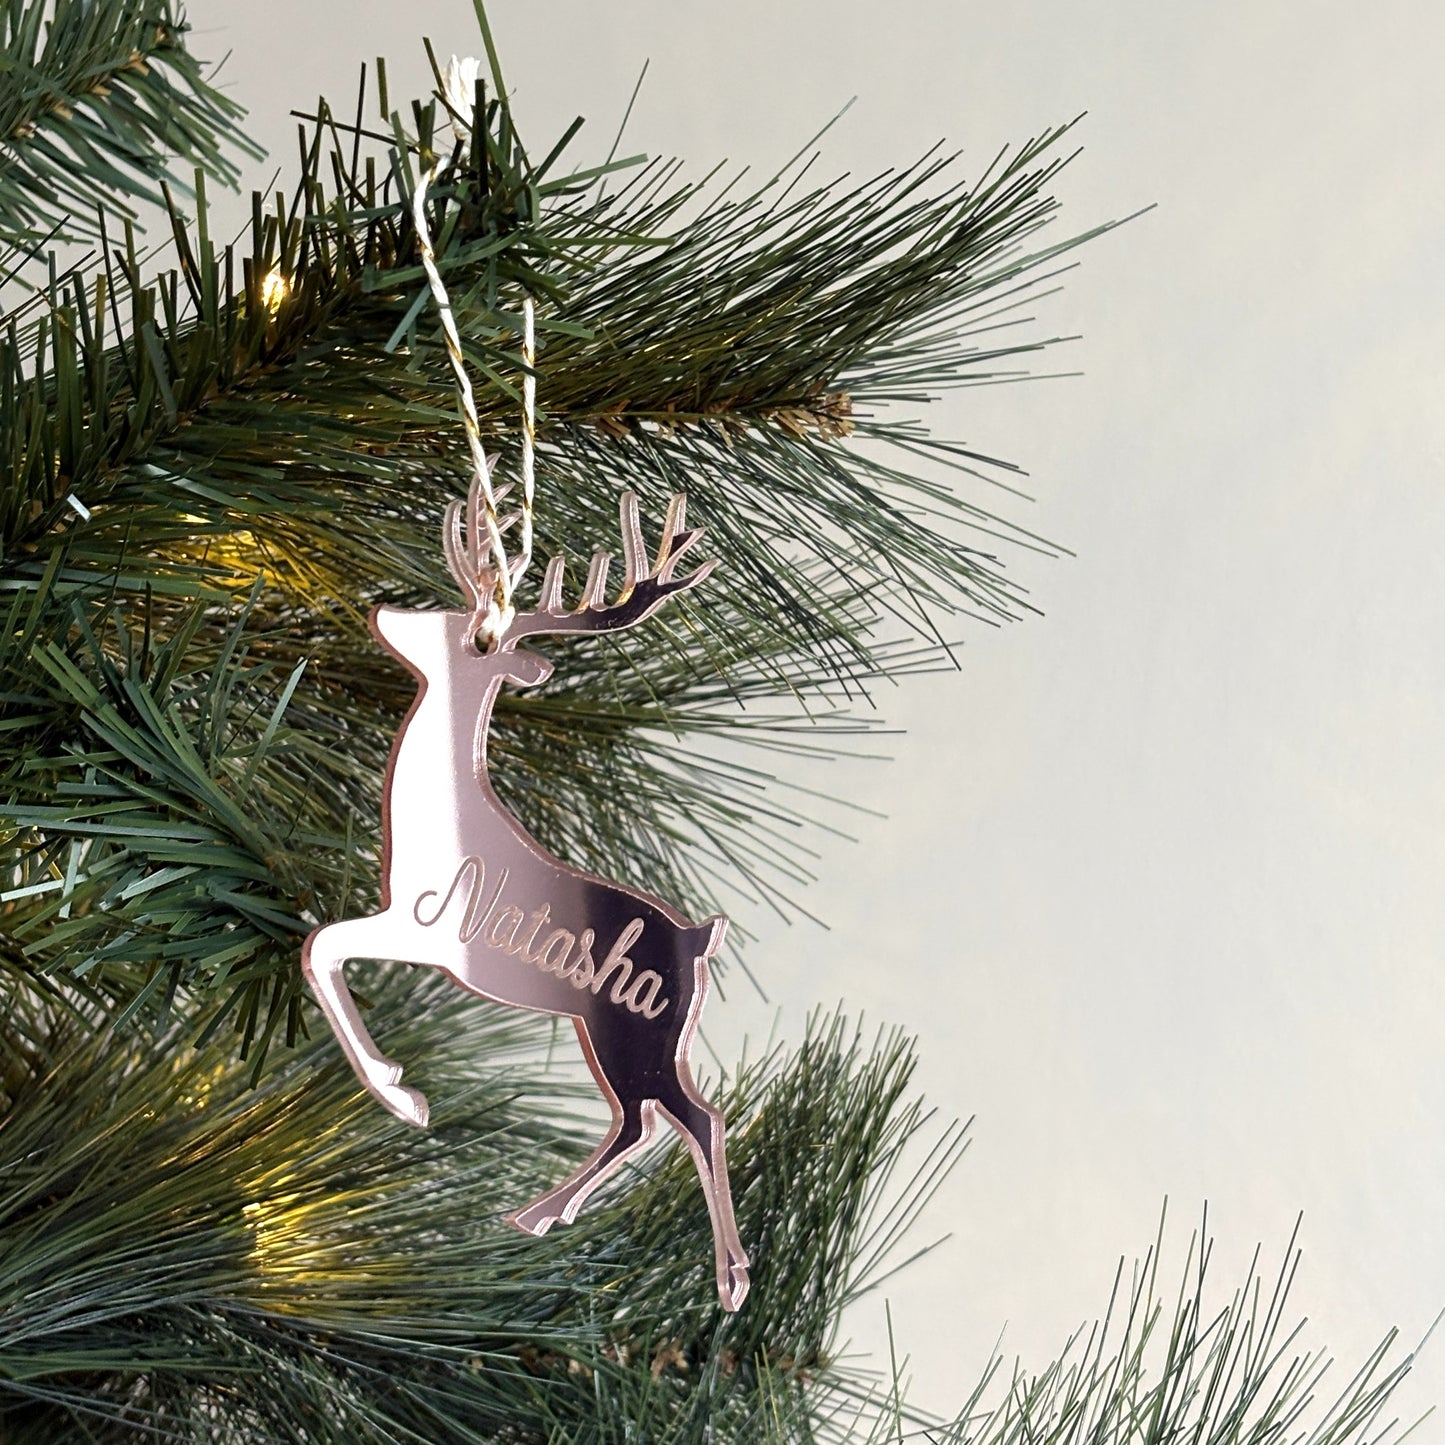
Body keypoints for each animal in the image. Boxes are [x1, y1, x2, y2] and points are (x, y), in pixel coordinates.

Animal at [301, 484, 750, 1312]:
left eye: (462, 637)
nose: (384, 613)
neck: (438, 825)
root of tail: (697, 937)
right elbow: (326, 948)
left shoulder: (426, 925)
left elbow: (323, 946)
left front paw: (402, 1095)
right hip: (620, 1031)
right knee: (645, 1121)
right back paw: (542, 1215)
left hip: (635, 1027)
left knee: (692, 1118)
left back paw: (729, 1279)